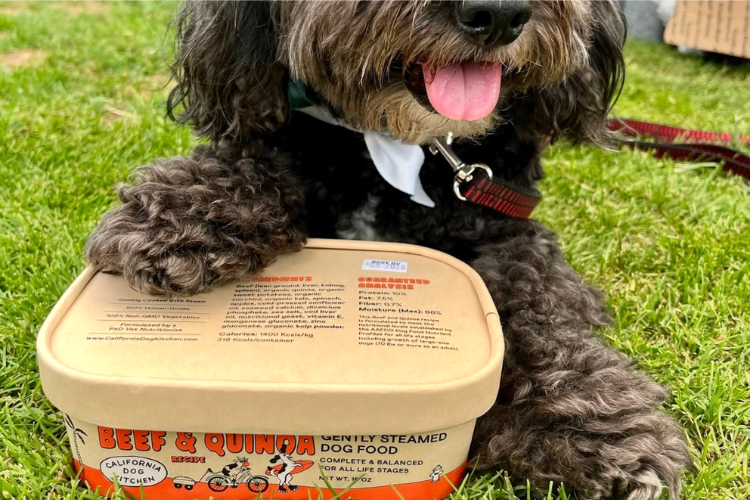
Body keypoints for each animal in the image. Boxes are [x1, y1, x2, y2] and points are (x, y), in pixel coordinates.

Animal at [83, 1, 692, 498]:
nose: (497, 12)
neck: (397, 143)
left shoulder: (508, 228)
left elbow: (538, 309)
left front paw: (587, 429)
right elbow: (250, 163)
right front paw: (179, 215)